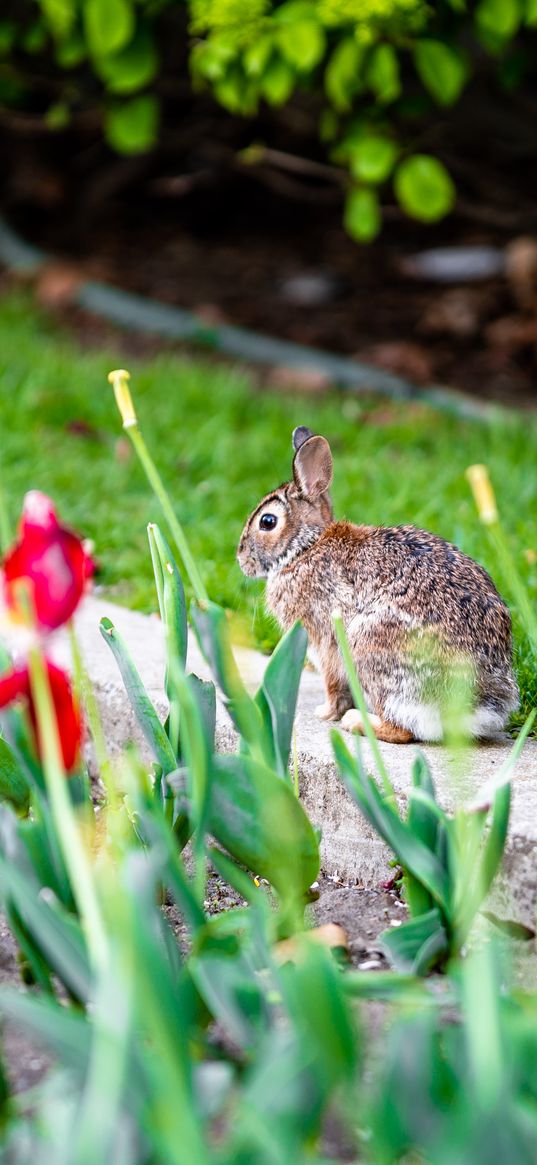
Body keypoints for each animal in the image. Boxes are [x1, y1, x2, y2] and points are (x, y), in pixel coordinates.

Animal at [236, 428, 517, 745]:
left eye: (267, 522)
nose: (241, 559)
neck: (305, 547)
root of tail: (472, 707)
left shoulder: (323, 639)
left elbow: (332, 684)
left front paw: (325, 713)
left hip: (369, 649)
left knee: (402, 729)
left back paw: (357, 722)